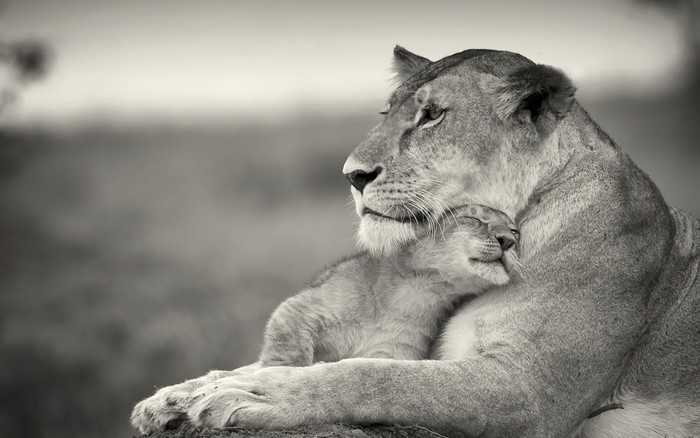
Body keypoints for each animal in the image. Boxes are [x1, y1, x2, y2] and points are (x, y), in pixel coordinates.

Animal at [131, 47, 700, 437]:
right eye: (387, 114)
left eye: (432, 115)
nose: (352, 175)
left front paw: (258, 393)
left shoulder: (532, 391)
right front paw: (177, 396)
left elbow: (379, 377)